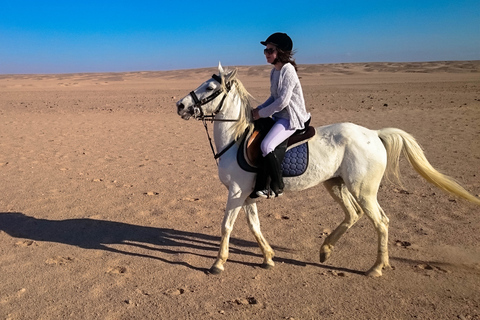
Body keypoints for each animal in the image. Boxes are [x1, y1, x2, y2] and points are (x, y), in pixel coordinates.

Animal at [176, 63, 480, 278]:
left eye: (210, 87)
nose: (180, 105)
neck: (237, 138)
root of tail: (374, 134)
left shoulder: (237, 193)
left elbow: (226, 226)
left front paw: (218, 263)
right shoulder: (249, 195)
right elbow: (254, 226)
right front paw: (269, 257)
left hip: (363, 191)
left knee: (381, 222)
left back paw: (376, 268)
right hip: (335, 184)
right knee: (353, 215)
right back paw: (326, 251)